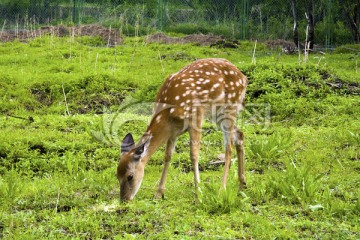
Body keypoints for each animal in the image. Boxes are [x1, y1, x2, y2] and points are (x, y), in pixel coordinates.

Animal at [117, 57, 248, 201]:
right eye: (117, 176)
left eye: (130, 176)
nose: (124, 199)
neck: (169, 113)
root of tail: (243, 77)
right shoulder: (173, 132)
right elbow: (167, 156)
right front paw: (159, 194)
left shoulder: (196, 116)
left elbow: (194, 155)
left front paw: (198, 193)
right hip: (217, 114)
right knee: (240, 135)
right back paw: (242, 185)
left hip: (229, 108)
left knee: (228, 148)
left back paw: (222, 189)